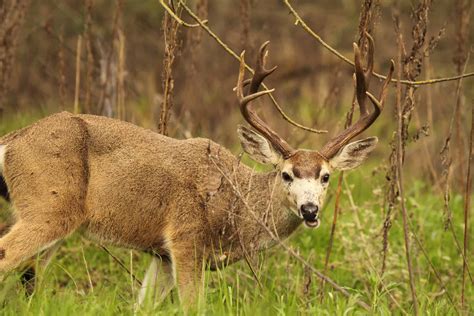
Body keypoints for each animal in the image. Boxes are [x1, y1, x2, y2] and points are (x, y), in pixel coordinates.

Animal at [0, 35, 392, 308]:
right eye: (287, 174)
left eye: (326, 176)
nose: (309, 210)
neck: (236, 207)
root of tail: (12, 140)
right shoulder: (186, 236)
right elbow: (194, 305)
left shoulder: (161, 254)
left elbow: (142, 307)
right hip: (49, 207)